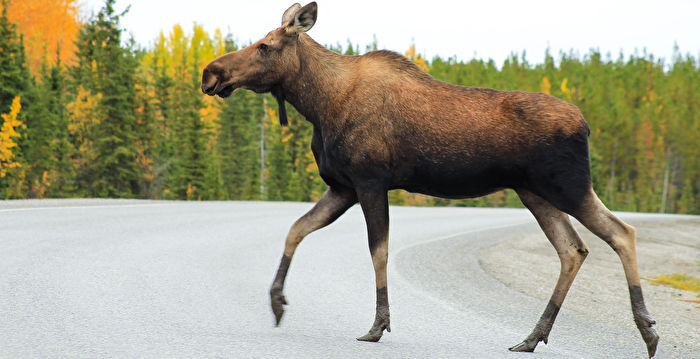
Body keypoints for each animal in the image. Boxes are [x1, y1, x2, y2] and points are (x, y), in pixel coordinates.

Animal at [200, 2, 660, 358]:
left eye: (265, 46)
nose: (211, 73)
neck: (318, 104)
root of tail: (585, 125)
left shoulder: (369, 181)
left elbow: (378, 251)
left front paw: (378, 325)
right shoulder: (342, 186)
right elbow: (296, 229)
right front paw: (278, 303)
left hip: (568, 186)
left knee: (622, 232)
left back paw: (648, 331)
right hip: (535, 192)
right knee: (573, 249)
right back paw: (533, 337)